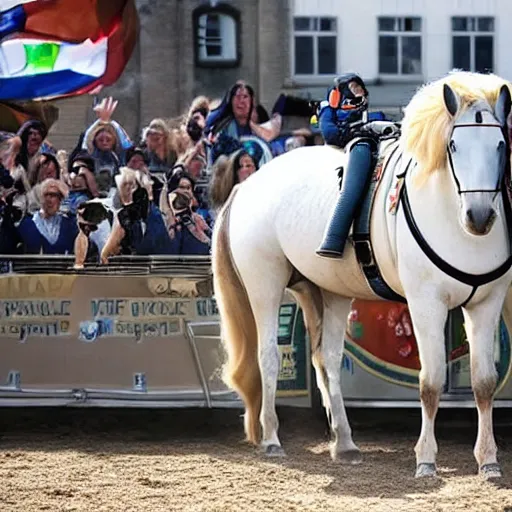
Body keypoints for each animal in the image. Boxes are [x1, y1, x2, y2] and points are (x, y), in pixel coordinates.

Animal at [211, 70, 512, 478]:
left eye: (500, 145)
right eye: (453, 146)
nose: (479, 217)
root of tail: (247, 184)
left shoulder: (486, 302)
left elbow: (484, 383)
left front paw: (489, 461)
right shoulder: (426, 303)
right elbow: (431, 381)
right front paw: (426, 460)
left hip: (324, 291)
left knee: (328, 360)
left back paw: (345, 443)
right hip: (265, 284)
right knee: (269, 356)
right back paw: (272, 439)